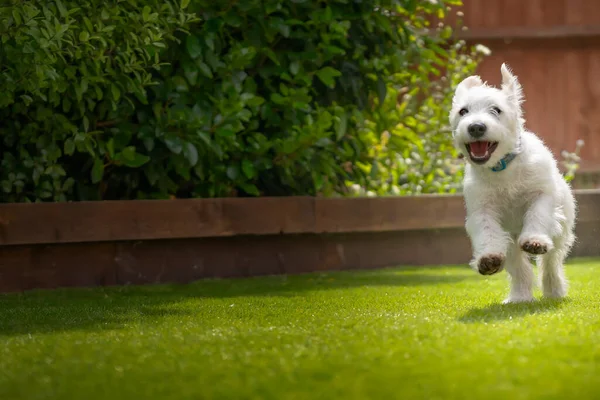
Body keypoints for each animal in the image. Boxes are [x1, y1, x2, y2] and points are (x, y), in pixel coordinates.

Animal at [450, 63, 576, 304]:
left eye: (496, 110)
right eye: (463, 111)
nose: (476, 127)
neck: (503, 168)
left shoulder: (541, 196)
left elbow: (537, 215)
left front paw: (535, 240)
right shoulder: (482, 209)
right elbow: (487, 230)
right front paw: (488, 258)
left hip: (560, 231)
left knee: (551, 263)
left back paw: (553, 291)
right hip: (509, 241)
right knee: (519, 269)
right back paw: (520, 297)